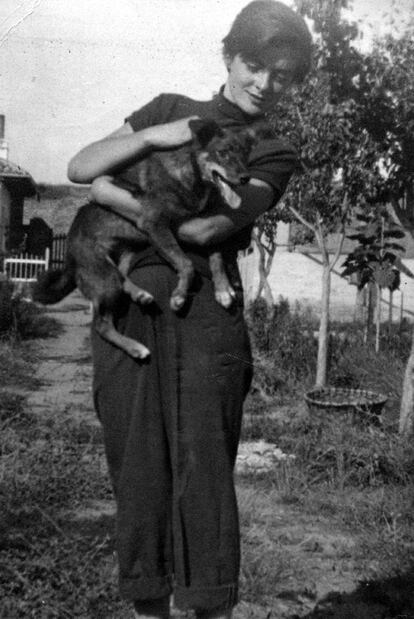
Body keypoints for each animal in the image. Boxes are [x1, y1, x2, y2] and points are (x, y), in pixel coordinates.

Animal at [34, 119, 256, 358]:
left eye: (245, 155)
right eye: (222, 153)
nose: (245, 178)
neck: (190, 175)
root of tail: (69, 256)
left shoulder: (206, 229)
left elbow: (216, 258)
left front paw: (223, 289)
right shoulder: (156, 225)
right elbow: (186, 263)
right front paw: (179, 296)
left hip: (127, 253)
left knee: (122, 277)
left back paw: (140, 294)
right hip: (103, 275)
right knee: (102, 324)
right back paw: (135, 347)